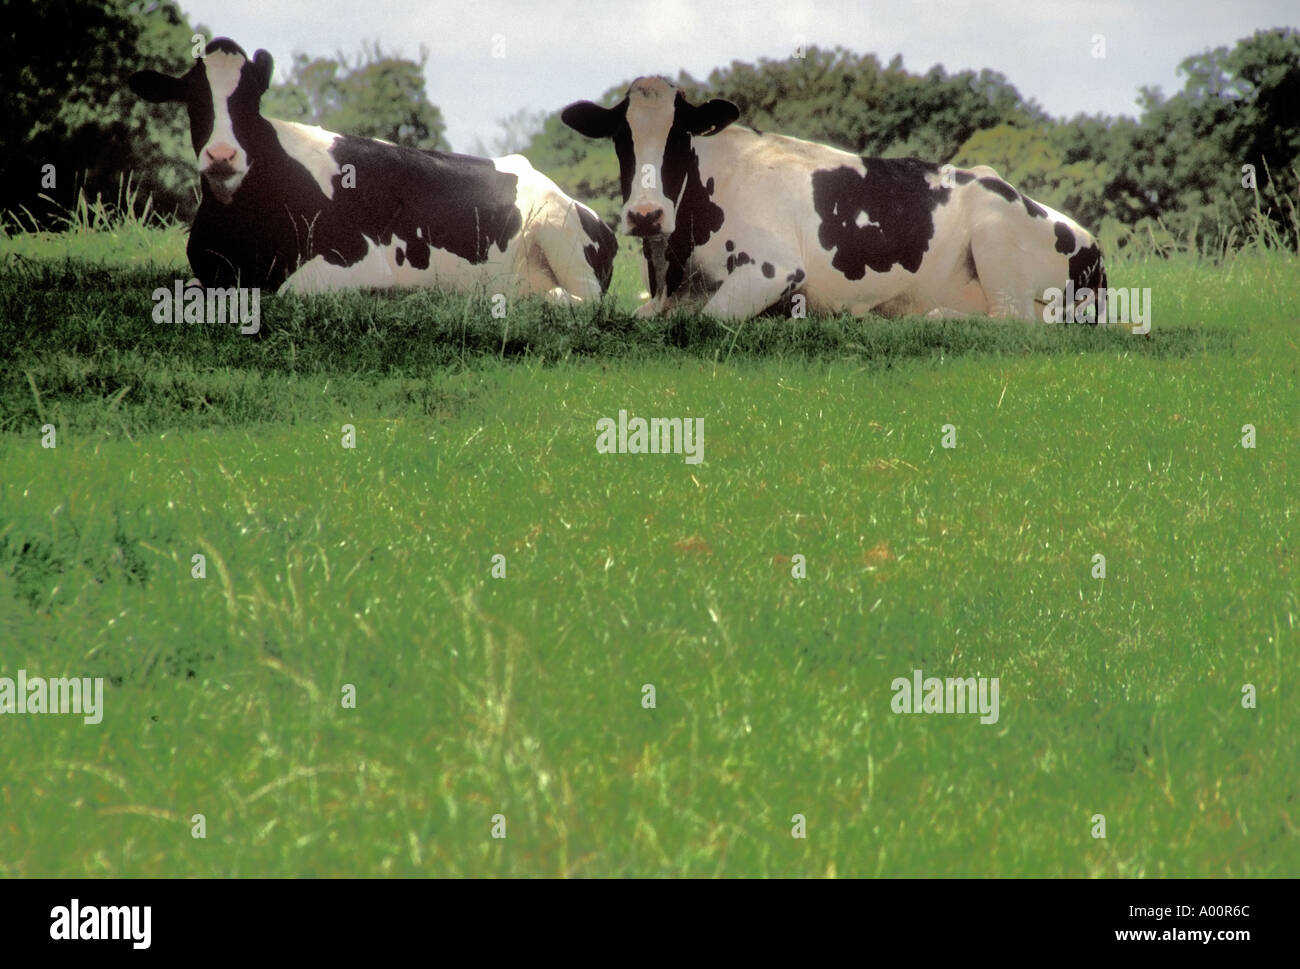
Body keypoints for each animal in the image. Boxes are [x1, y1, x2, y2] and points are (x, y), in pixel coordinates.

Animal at [129, 38, 616, 301]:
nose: (222, 155)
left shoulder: (357, 263)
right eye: (194, 100)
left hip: (558, 230)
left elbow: (288, 289)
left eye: (251, 99)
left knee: (578, 300)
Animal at [561, 79, 1107, 321]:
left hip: (996, 237)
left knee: (1015, 322)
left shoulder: (773, 268)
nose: (646, 214)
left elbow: (709, 318)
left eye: (679, 139)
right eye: (621, 139)